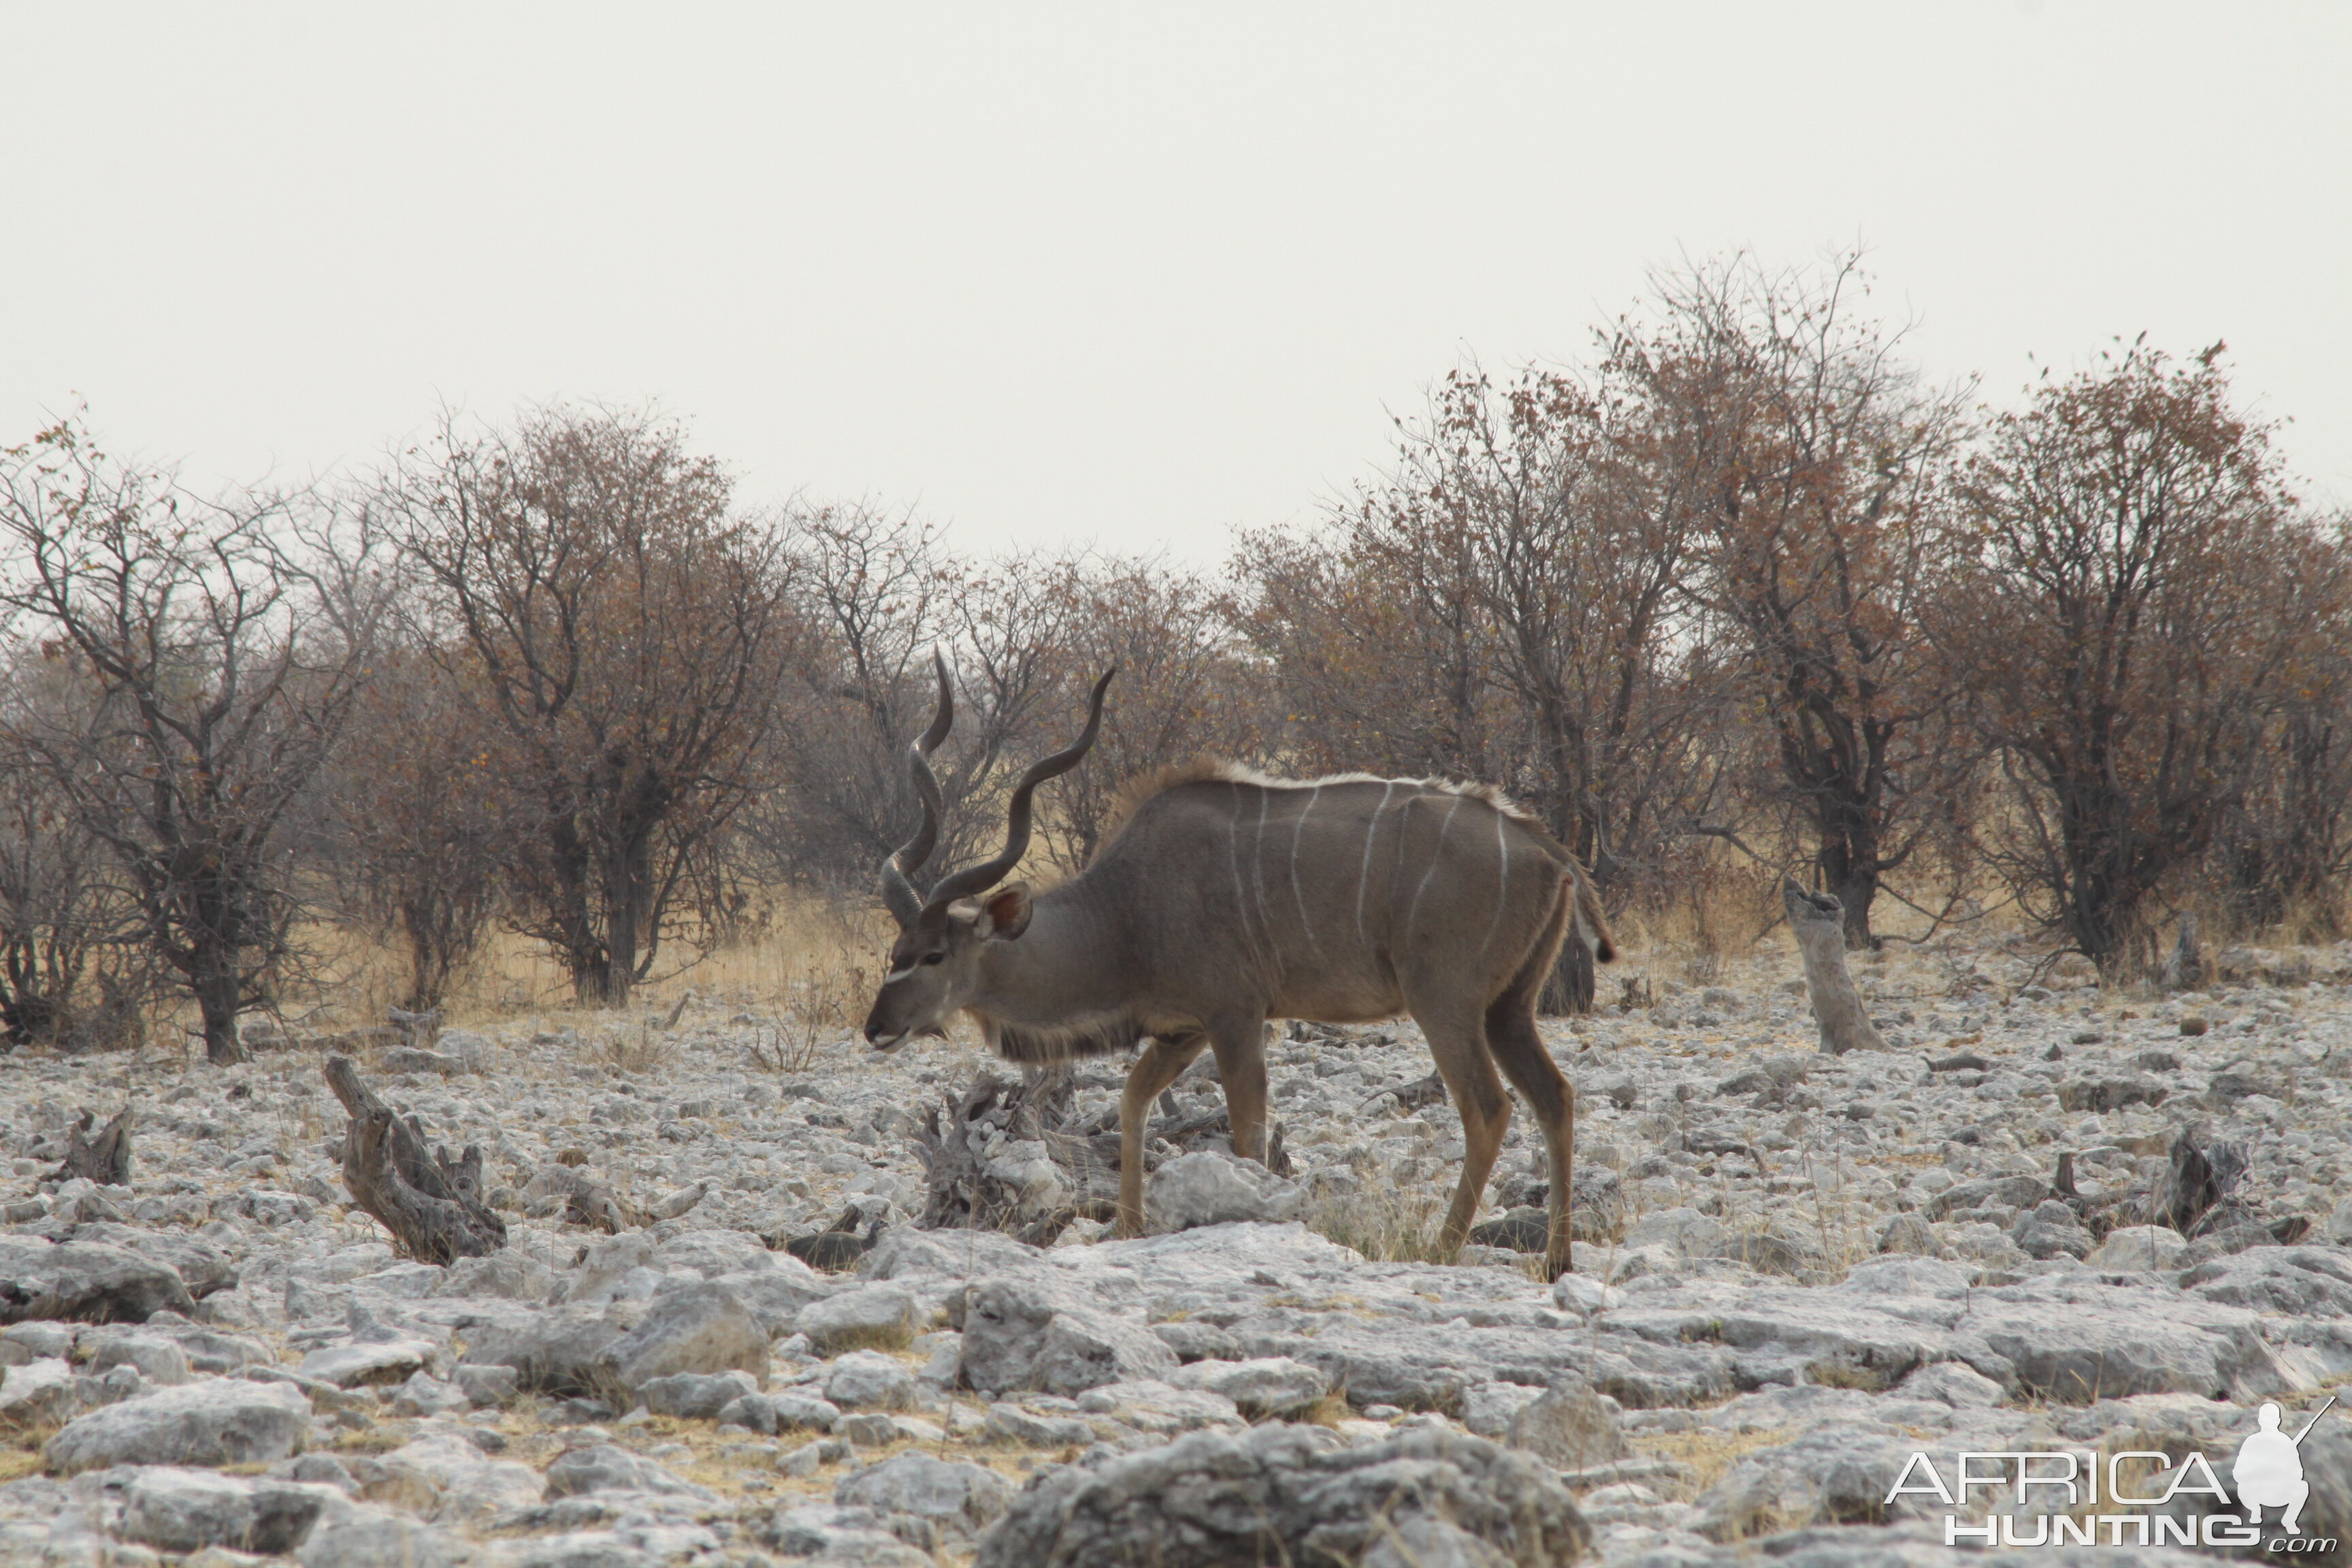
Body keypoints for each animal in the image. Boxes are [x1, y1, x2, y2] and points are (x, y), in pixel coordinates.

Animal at [865, 658, 1618, 1279]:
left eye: (934, 955)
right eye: (894, 951)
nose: (877, 1028)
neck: (1125, 911)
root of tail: (1546, 848)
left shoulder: (1234, 1016)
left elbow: (1247, 1130)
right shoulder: (1183, 1029)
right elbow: (1134, 1101)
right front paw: (1128, 1228)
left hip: (1445, 1003)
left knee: (1488, 1107)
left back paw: (1442, 1246)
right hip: (1508, 1010)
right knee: (1555, 1096)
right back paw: (1557, 1259)